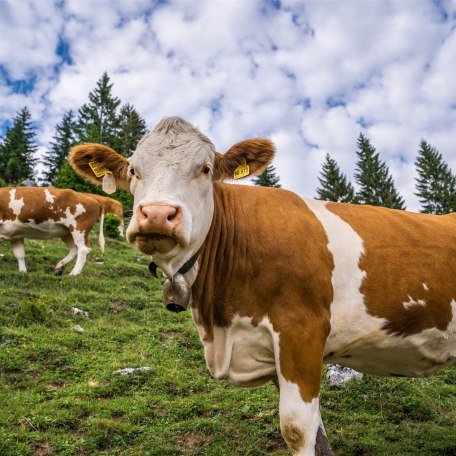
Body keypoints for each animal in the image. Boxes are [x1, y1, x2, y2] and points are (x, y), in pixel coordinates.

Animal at [68, 118, 456, 456]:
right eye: (134, 171)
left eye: (205, 169)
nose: (157, 214)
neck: (220, 322)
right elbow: (318, 435)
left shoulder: (302, 332)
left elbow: (297, 429)